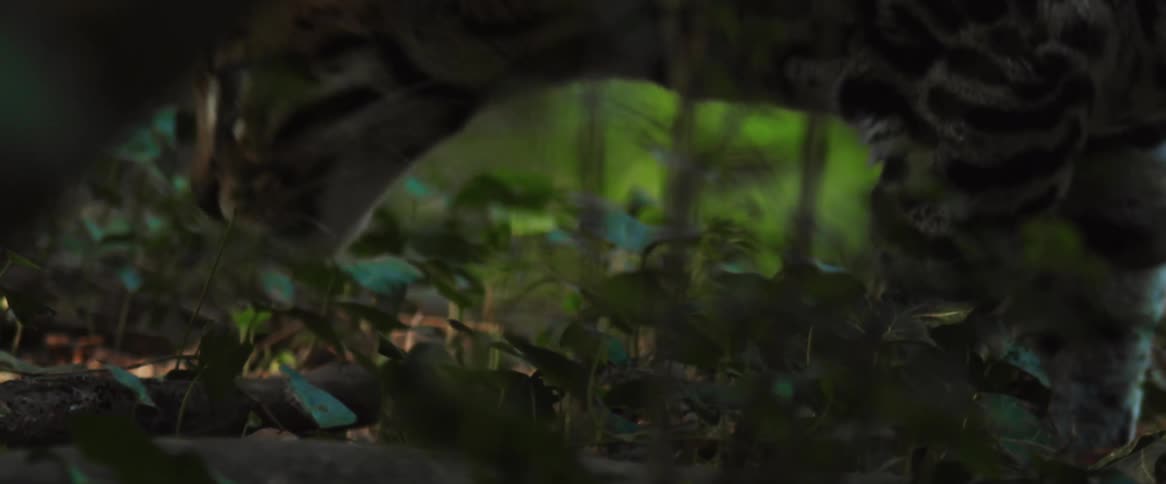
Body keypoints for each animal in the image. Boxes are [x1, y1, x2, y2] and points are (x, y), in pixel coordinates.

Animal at [187, 0, 1166, 463]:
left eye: (228, 85)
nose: (198, 200)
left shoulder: (990, 98)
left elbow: (924, 334)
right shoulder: (1115, 138)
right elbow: (1101, 338)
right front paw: (1078, 454)